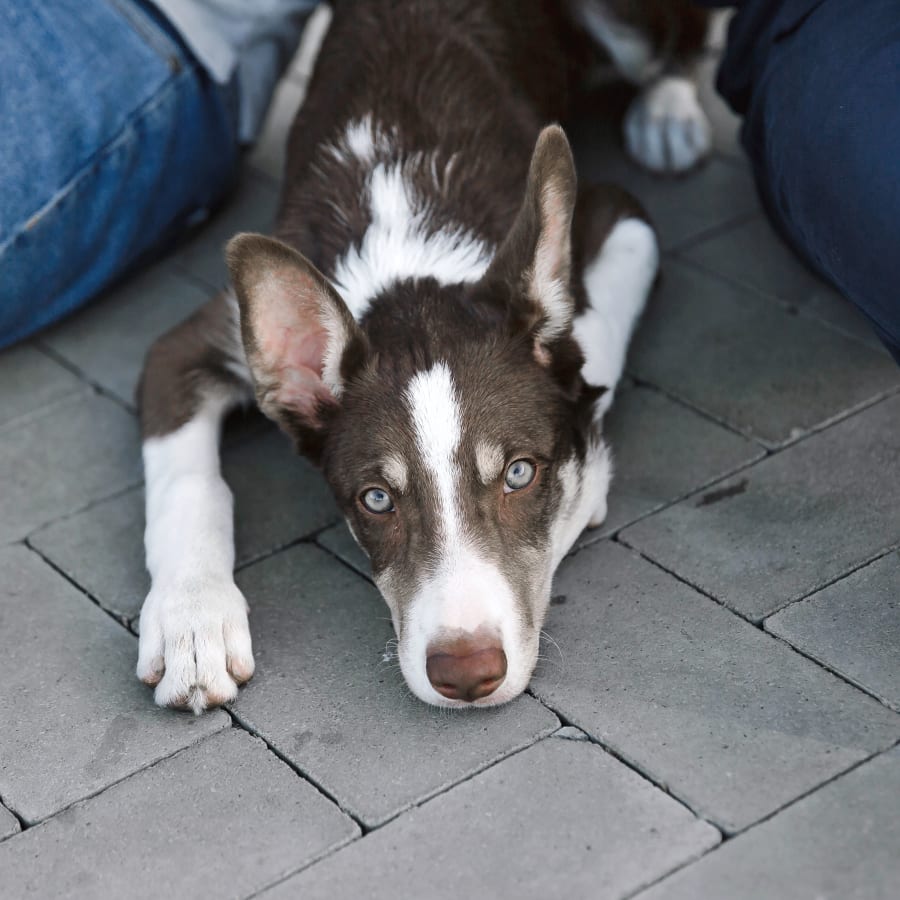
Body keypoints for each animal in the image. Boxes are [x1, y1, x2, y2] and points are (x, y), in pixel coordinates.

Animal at [135, 3, 712, 712]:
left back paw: (669, 113)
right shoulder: (189, 345)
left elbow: (587, 343)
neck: (406, 237)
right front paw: (192, 622)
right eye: (377, 499)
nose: (466, 674)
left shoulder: (622, 217)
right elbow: (187, 484)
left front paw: (586, 474)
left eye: (520, 473)